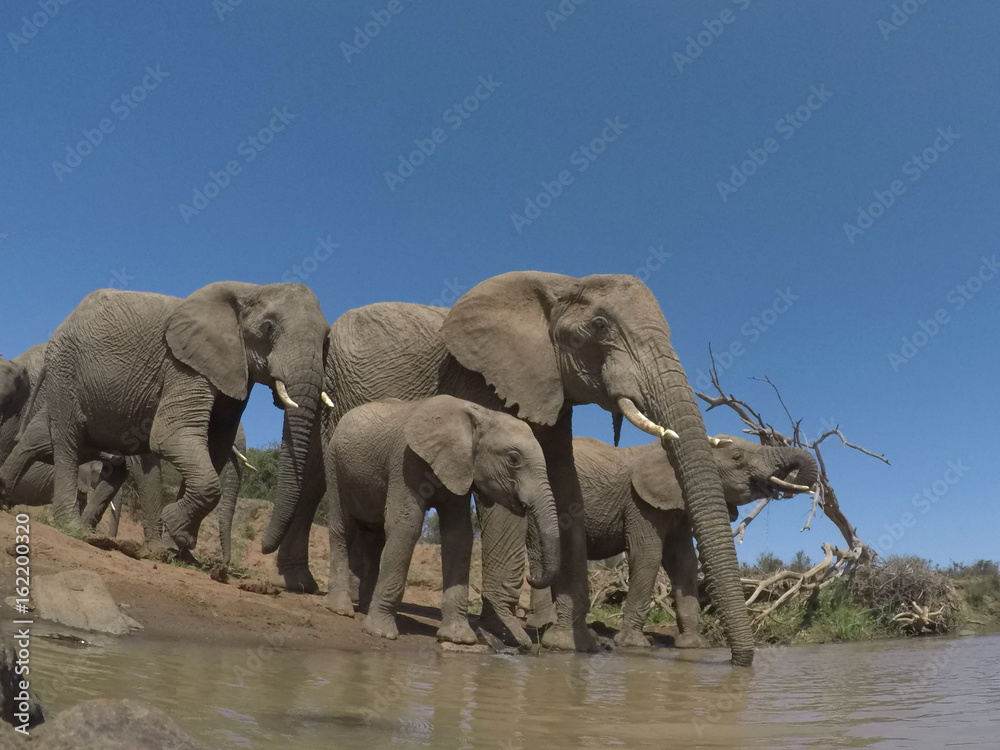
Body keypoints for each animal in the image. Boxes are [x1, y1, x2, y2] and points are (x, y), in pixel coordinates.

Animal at [0, 282, 330, 557]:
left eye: (327, 341)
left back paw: (5, 495)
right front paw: (171, 532)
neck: (252, 289)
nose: (263, 548)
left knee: (54, 443)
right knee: (67, 439)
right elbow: (170, 437)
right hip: (65, 369)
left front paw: (179, 550)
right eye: (268, 328)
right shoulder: (183, 365)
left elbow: (214, 447)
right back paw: (70, 527)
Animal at [323, 395, 560, 644]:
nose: (532, 576)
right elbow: (405, 526)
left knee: (373, 536)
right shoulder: (406, 460)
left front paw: (459, 638)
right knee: (343, 527)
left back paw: (365, 607)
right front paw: (380, 633)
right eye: (514, 459)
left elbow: (459, 536)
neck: (480, 414)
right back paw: (341, 609)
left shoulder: (460, 468)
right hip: (334, 463)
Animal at [530, 435, 819, 648]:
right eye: (737, 458)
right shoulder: (640, 503)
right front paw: (634, 643)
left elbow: (684, 563)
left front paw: (693, 645)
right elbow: (647, 555)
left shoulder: (676, 507)